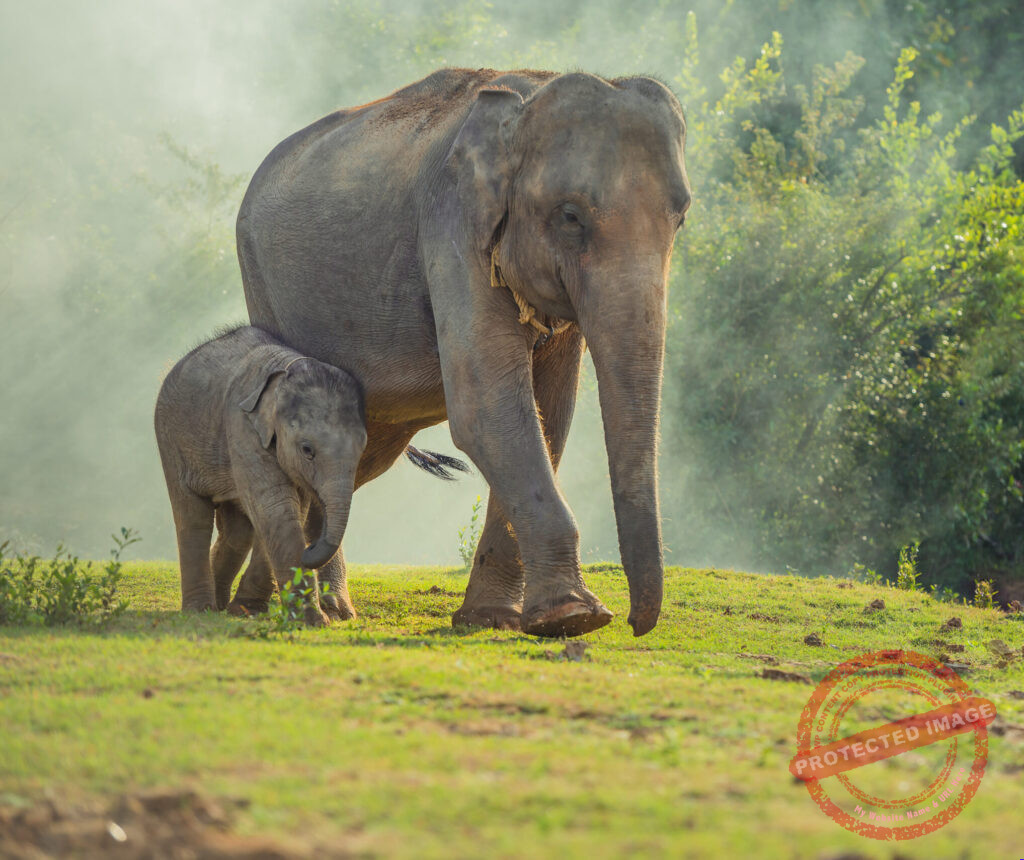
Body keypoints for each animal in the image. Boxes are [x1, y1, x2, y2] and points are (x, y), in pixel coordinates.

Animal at [154, 325, 368, 625]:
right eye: (307, 450)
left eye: (362, 448)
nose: (310, 548)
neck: (285, 370)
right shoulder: (242, 428)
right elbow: (275, 507)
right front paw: (313, 621)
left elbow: (288, 510)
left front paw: (248, 610)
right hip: (171, 440)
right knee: (192, 517)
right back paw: (200, 609)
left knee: (237, 532)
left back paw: (220, 606)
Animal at [236, 68, 691, 637]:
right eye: (570, 216)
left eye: (681, 217)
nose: (634, 622)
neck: (526, 98)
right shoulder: (452, 225)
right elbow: (488, 411)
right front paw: (577, 616)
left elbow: (549, 416)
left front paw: (495, 619)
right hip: (262, 284)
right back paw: (306, 609)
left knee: (358, 454)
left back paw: (310, 604)